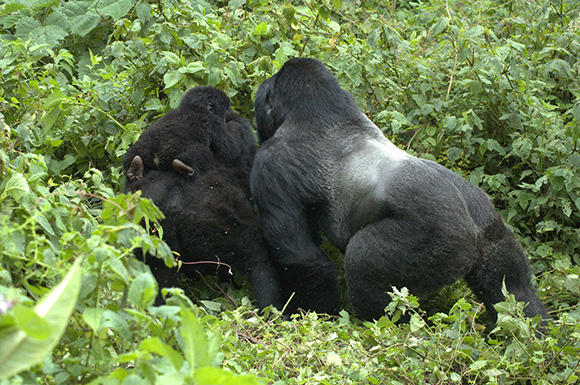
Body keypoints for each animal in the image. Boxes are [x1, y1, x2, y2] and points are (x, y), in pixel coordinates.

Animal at [250, 57, 548, 320]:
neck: (320, 107)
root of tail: (472, 225)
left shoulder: (269, 166)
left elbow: (300, 257)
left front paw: (317, 315)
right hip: (490, 225)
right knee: (513, 287)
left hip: (442, 240)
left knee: (361, 261)